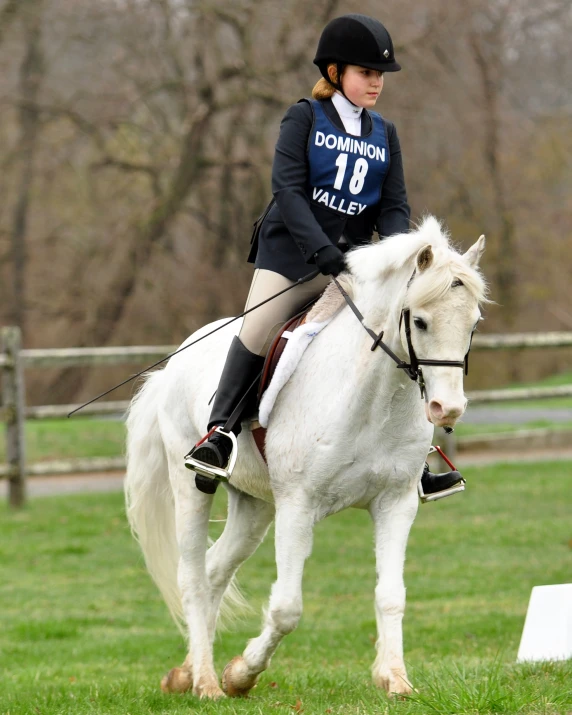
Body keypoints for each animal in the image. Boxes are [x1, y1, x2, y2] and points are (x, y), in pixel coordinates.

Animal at [125, 217, 488, 700]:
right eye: (421, 320)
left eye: (473, 323)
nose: (447, 409)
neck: (374, 398)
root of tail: (170, 366)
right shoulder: (298, 506)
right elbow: (286, 608)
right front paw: (241, 674)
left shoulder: (395, 503)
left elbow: (392, 594)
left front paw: (394, 678)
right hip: (191, 487)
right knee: (192, 577)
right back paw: (206, 682)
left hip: (255, 505)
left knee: (215, 570)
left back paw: (184, 673)